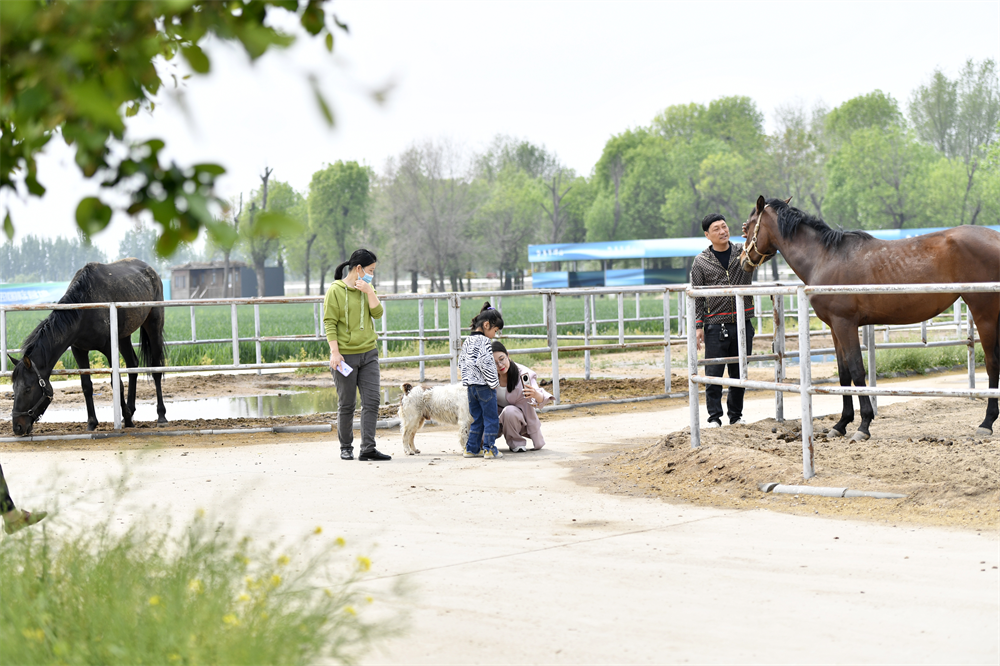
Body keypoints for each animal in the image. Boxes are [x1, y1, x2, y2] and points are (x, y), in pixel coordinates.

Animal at [9, 258, 168, 436]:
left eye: (28, 389)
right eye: (13, 388)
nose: (17, 427)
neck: (84, 309)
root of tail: (151, 271)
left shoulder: (109, 348)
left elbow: (117, 383)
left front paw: (127, 419)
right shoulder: (79, 350)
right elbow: (86, 386)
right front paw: (92, 423)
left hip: (153, 325)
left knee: (156, 369)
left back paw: (161, 415)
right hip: (123, 337)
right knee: (132, 364)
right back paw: (131, 410)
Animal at [740, 195, 1000, 441]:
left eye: (747, 226)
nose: (743, 260)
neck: (824, 257)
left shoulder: (845, 324)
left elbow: (857, 370)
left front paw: (863, 425)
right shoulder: (835, 327)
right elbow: (843, 373)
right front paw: (841, 424)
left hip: (985, 314)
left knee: (992, 363)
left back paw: (986, 423)